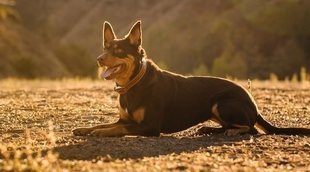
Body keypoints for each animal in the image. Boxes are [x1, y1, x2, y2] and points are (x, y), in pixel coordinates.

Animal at [71, 21, 308, 137]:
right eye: (105, 48)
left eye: (118, 50)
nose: (99, 59)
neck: (133, 84)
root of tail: (254, 104)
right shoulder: (124, 120)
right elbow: (103, 123)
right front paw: (85, 129)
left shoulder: (150, 126)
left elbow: (115, 129)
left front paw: (100, 133)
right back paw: (208, 130)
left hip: (221, 103)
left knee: (251, 129)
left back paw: (230, 131)